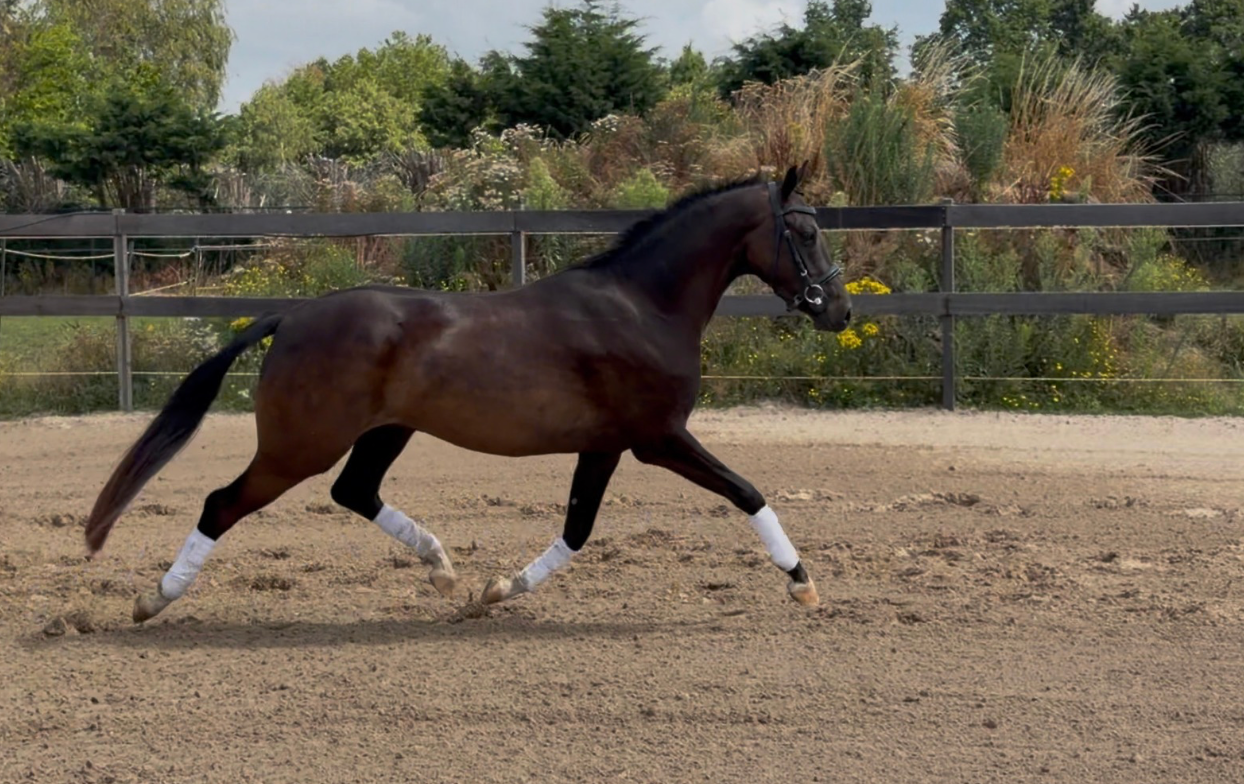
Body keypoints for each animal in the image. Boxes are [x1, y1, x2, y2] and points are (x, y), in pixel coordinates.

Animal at [82, 162, 852, 624]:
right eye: (805, 230)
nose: (839, 308)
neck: (643, 306)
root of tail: (291, 316)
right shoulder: (659, 438)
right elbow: (747, 491)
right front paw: (803, 582)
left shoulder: (607, 445)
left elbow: (578, 528)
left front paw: (495, 590)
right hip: (299, 446)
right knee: (223, 503)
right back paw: (154, 600)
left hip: (385, 431)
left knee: (353, 492)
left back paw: (443, 568)